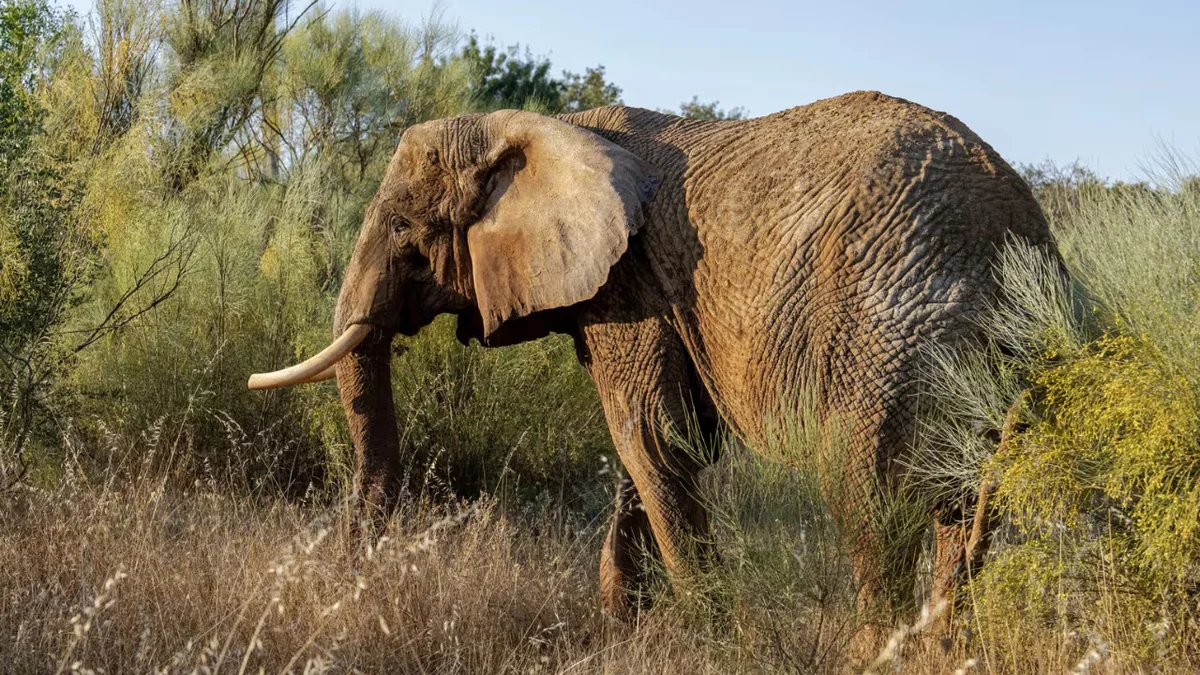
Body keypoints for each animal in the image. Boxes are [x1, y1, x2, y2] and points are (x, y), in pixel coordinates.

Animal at [248, 90, 1055, 619]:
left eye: (406, 230)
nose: (343, 578)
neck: (545, 127)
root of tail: (1018, 226)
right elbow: (655, 445)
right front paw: (622, 626)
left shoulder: (632, 287)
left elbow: (651, 438)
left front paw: (709, 633)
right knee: (957, 505)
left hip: (888, 331)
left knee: (870, 500)